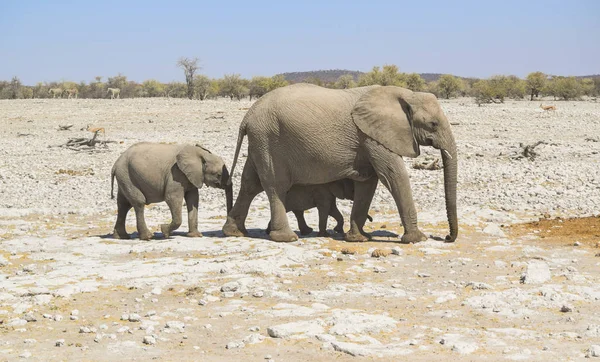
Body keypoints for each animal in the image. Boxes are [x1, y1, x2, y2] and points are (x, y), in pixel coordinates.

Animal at [223, 83, 458, 245]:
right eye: (433, 124)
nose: (446, 237)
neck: (405, 94)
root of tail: (247, 116)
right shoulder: (371, 136)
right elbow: (393, 175)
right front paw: (417, 239)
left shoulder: (369, 138)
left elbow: (368, 183)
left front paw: (358, 238)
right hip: (269, 140)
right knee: (275, 186)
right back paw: (287, 238)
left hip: (259, 142)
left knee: (250, 184)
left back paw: (234, 232)